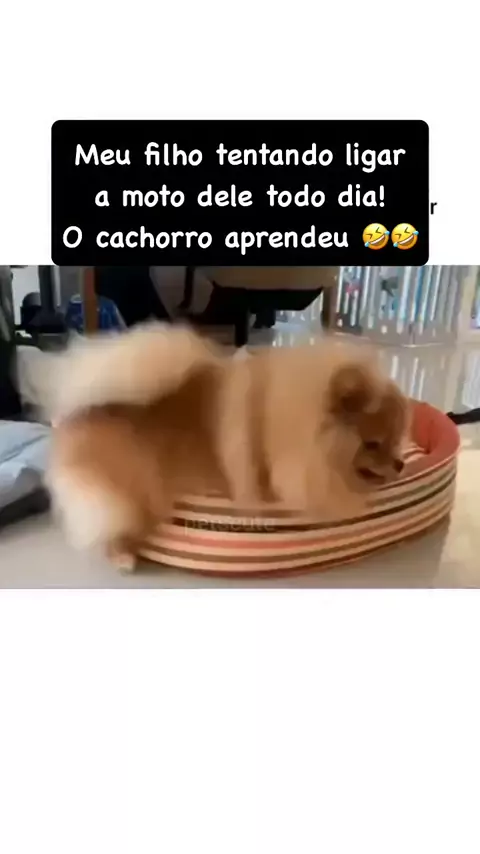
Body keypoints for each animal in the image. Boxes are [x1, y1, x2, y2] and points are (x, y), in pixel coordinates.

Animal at [21, 324, 409, 571]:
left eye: (397, 440)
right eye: (372, 444)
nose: (400, 465)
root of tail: (78, 412)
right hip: (122, 493)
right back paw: (122, 558)